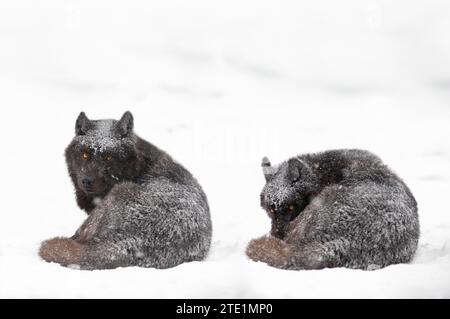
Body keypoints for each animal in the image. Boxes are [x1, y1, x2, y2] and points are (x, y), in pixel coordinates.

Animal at [39, 112, 213, 270]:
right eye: (85, 154)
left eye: (108, 157)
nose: (87, 181)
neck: (140, 167)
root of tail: (131, 242)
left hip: (118, 192)